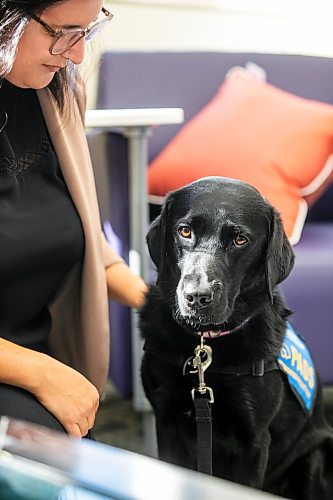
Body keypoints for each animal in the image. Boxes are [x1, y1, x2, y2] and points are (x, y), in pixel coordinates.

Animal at [139, 177, 332, 500]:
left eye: (240, 239)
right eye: (184, 231)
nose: (197, 297)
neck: (205, 343)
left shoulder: (253, 441)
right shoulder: (166, 424)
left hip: (314, 458)